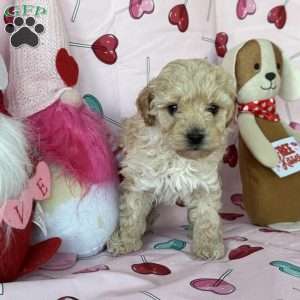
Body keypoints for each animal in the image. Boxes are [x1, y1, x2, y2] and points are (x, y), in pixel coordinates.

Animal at [109, 59, 236, 260]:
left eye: (213, 108)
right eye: (173, 108)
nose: (195, 136)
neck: (177, 155)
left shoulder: (205, 184)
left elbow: (206, 216)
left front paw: (207, 245)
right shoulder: (139, 179)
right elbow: (131, 213)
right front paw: (125, 241)